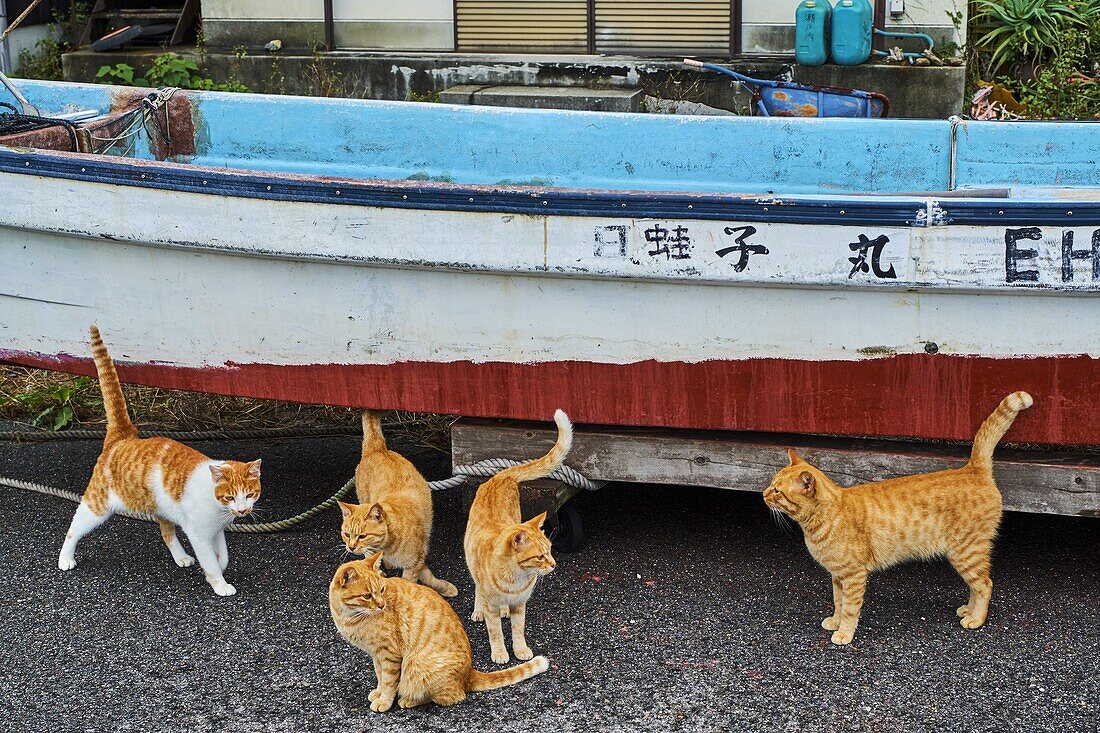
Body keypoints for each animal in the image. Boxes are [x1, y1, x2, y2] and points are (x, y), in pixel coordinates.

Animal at [56, 325, 262, 594]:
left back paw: (181, 557)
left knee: (166, 532)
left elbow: (223, 556)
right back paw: (65, 558)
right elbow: (210, 560)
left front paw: (218, 567)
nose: (243, 510)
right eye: (230, 496)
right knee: (74, 528)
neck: (219, 509)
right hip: (97, 505)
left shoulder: (216, 531)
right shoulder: (199, 533)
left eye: (250, 494)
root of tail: (123, 436)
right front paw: (219, 583)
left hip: (160, 505)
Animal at [325, 554, 550, 708]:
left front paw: (384, 701)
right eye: (367, 596)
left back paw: (409, 700)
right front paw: (378, 693)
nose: (381, 605)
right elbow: (380, 677)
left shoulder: (388, 655)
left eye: (381, 590)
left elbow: (388, 681)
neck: (350, 616)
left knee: (451, 696)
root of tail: (468, 673)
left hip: (415, 665)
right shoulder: (376, 655)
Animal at [334, 407, 455, 598]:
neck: (387, 544)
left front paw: (443, 587)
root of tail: (377, 449)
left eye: (362, 536)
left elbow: (423, 575)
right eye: (346, 534)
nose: (351, 547)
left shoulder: (416, 559)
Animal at [464, 411, 572, 660]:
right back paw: (478, 610)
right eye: (540, 556)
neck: (515, 578)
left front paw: (520, 649)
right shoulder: (491, 604)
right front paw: (500, 653)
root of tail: (500, 477)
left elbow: (518, 629)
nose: (554, 564)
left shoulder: (520, 604)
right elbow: (495, 632)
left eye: (550, 551)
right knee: (477, 587)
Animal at [765, 391, 1029, 642]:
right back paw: (968, 610)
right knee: (976, 585)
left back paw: (976, 619)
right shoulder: (838, 576)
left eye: (777, 490)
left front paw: (844, 633)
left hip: (966, 552)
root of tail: (972, 468)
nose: (764, 494)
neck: (823, 518)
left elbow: (849, 609)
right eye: (771, 484)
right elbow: (838, 602)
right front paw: (835, 621)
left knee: (985, 584)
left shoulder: (853, 576)